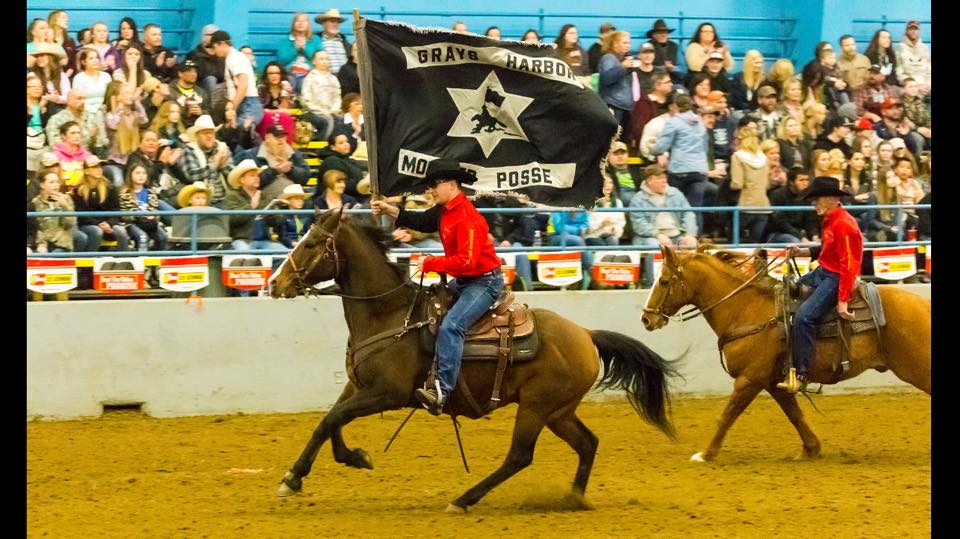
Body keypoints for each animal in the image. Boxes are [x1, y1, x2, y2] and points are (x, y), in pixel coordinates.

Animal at [266, 208, 680, 516]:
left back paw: (464, 500)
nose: (273, 283)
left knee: (519, 456)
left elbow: (334, 418)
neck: (389, 314)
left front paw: (298, 476)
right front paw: (344, 460)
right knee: (587, 444)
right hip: (559, 411)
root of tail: (586, 334)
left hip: (536, 407)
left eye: (312, 243)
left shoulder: (388, 392)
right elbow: (329, 421)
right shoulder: (359, 386)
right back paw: (573, 499)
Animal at [636, 247, 928, 462]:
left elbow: (726, 415)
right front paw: (811, 449)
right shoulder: (772, 380)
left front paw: (706, 454)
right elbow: (794, 414)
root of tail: (923, 304)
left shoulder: (749, 379)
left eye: (664, 281)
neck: (745, 309)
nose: (647, 319)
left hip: (918, 369)